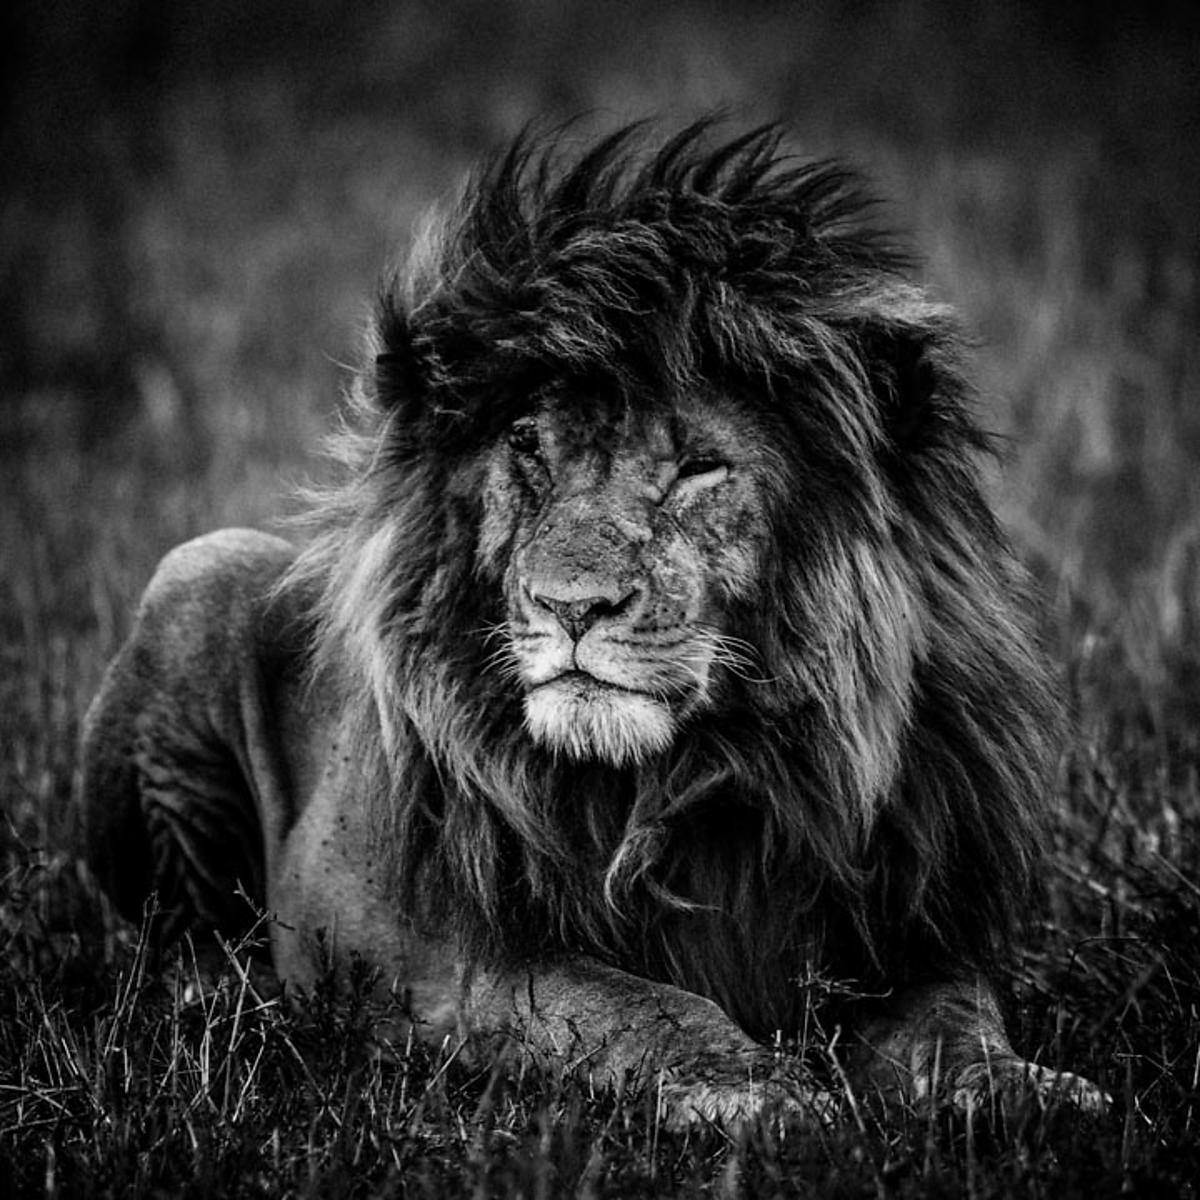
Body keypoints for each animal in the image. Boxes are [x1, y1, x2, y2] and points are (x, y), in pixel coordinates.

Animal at [79, 121, 1106, 1128]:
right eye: (528, 447)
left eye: (697, 468)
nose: (569, 604)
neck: (711, 773)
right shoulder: (468, 961)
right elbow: (638, 1005)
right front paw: (758, 1088)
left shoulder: (916, 926)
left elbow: (957, 1019)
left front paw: (1026, 1090)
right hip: (195, 570)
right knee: (173, 938)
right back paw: (227, 997)